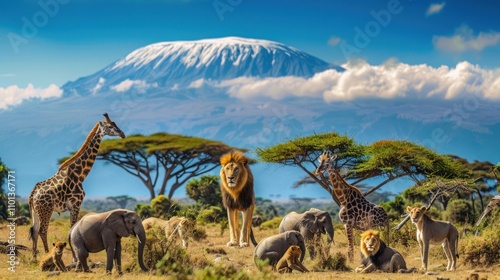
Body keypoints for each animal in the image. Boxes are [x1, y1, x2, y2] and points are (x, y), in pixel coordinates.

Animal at [28, 113, 126, 258]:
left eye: (115, 124)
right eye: (109, 126)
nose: (122, 134)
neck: (80, 175)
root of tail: (33, 194)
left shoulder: (72, 207)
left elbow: (71, 230)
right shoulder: (75, 205)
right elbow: (71, 230)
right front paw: (76, 258)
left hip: (35, 211)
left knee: (34, 231)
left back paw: (34, 257)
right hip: (46, 210)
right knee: (42, 231)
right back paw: (46, 254)